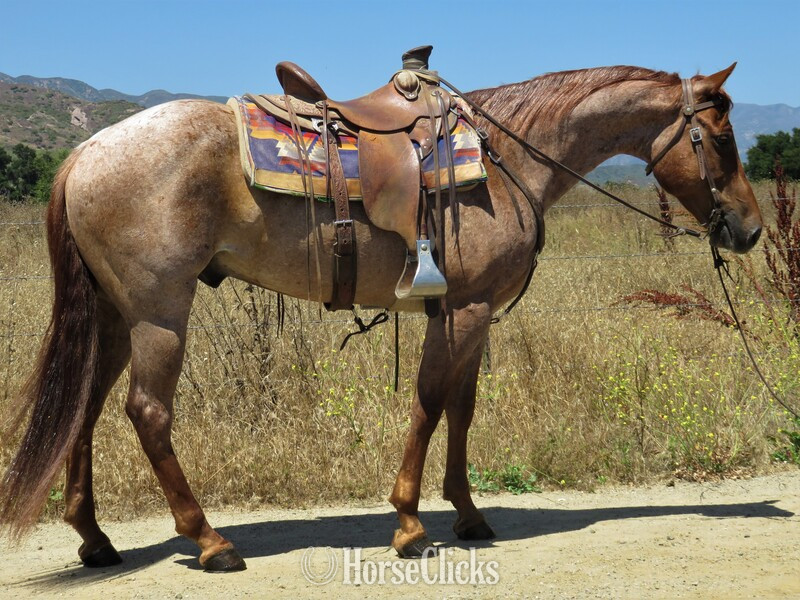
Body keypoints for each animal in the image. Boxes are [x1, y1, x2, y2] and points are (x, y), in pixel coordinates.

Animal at [0, 62, 762, 571]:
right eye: (723, 138)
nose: (750, 229)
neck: (506, 159)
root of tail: (87, 151)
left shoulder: (464, 313)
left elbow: (462, 409)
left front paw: (469, 514)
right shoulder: (462, 310)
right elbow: (428, 403)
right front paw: (409, 524)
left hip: (113, 316)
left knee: (85, 407)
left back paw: (96, 539)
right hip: (159, 313)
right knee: (147, 413)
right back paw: (210, 540)